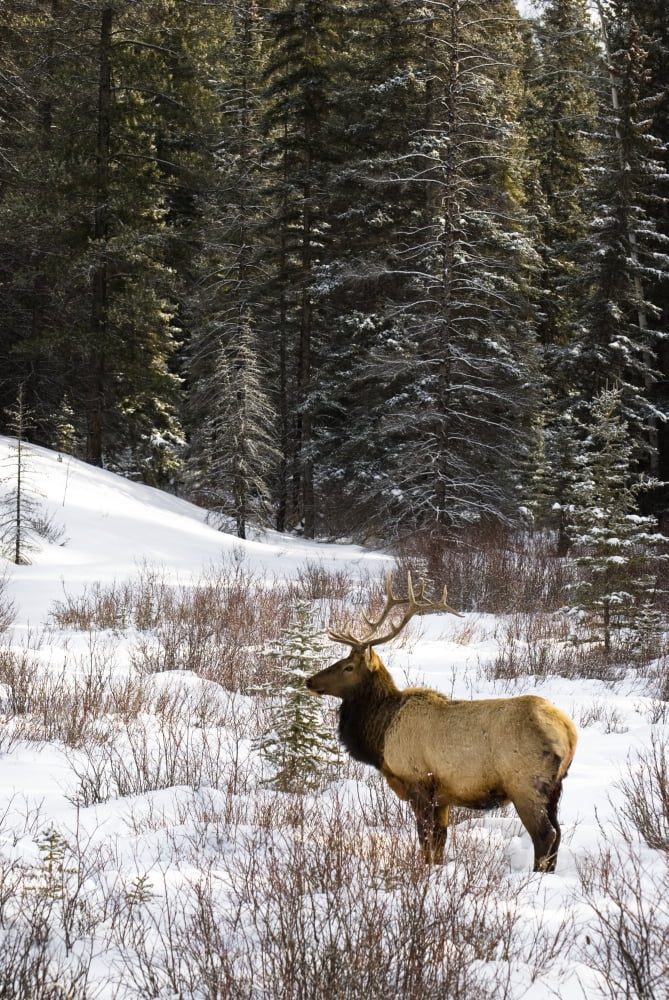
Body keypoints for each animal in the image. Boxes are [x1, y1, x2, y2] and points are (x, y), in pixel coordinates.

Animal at [306, 572, 578, 872]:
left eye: (348, 667)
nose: (310, 681)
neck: (381, 735)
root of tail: (569, 733)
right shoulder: (443, 794)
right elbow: (440, 838)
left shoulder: (418, 782)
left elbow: (425, 836)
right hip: (556, 787)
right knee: (558, 833)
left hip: (526, 784)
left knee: (545, 834)